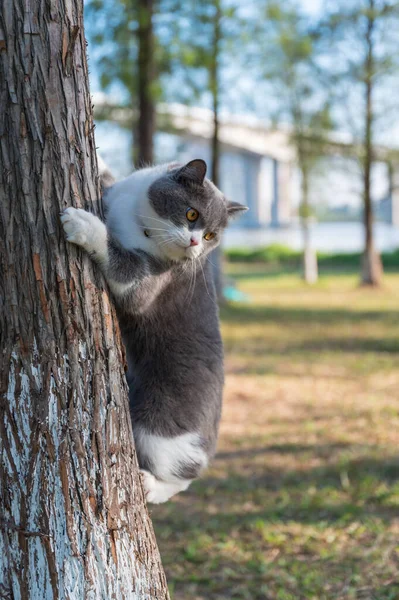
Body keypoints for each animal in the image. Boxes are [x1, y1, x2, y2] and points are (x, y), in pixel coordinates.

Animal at [60, 158, 247, 502]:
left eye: (211, 235)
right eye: (192, 214)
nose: (195, 243)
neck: (137, 217)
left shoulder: (150, 281)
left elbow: (123, 267)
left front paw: (83, 224)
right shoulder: (116, 190)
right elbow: (107, 177)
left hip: (159, 429)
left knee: (185, 471)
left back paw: (150, 485)